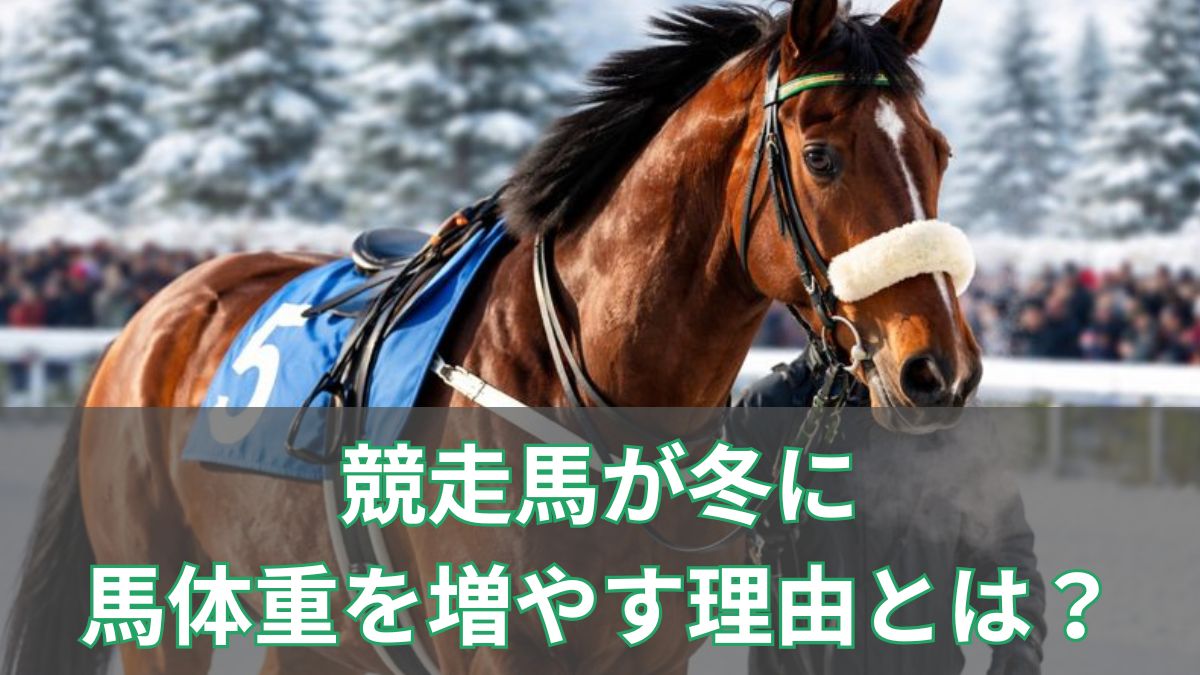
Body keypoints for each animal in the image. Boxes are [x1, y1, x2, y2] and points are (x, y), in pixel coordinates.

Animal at [3, 1, 981, 673]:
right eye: (821, 155)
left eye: (938, 152)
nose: (939, 370)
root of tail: (150, 317)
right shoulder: (493, 648)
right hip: (156, 602)